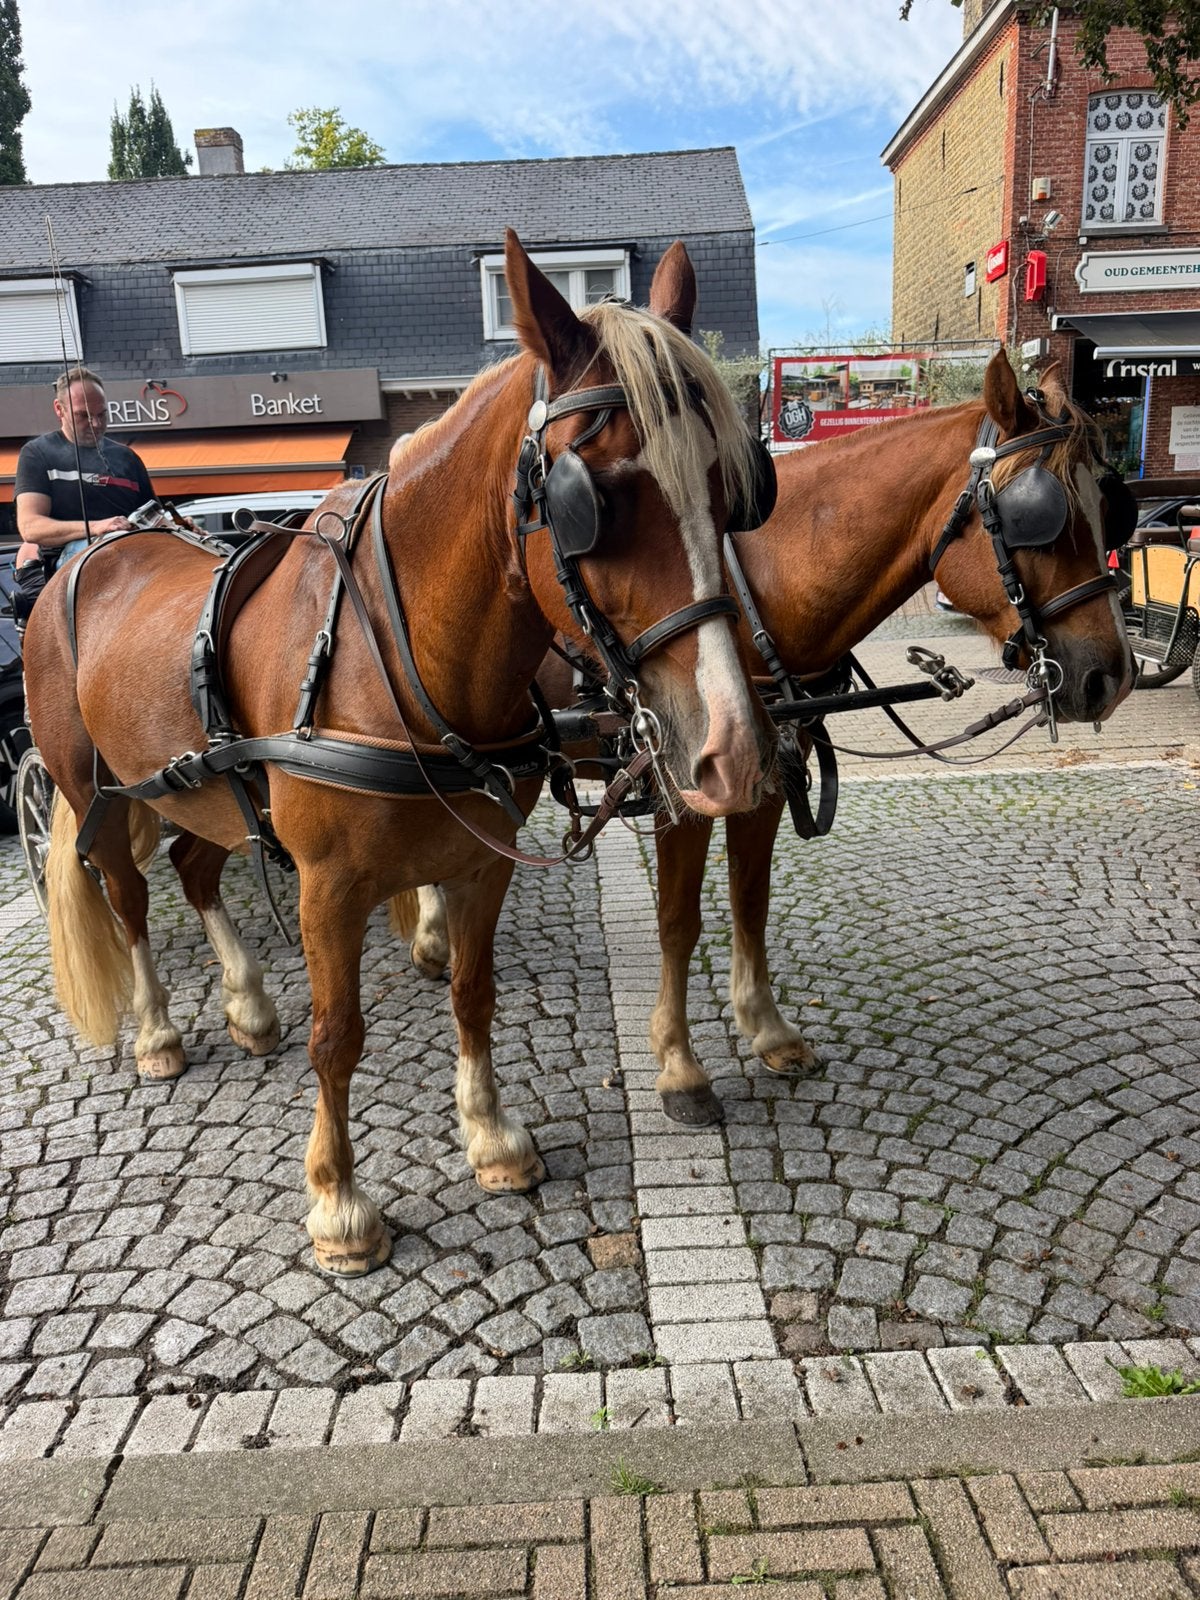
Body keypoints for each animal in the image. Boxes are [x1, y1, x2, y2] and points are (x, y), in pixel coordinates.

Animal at [26, 230, 775, 1275]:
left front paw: (491, 1137)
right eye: (598, 498)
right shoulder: (327, 885)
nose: (733, 748)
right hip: (93, 790)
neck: (394, 661)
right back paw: (159, 1033)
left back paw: (247, 1006)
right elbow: (338, 1037)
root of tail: (93, 554)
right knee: (129, 896)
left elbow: (471, 993)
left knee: (195, 869)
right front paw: (339, 1202)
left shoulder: (480, 862)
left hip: (200, 789)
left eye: (734, 488)